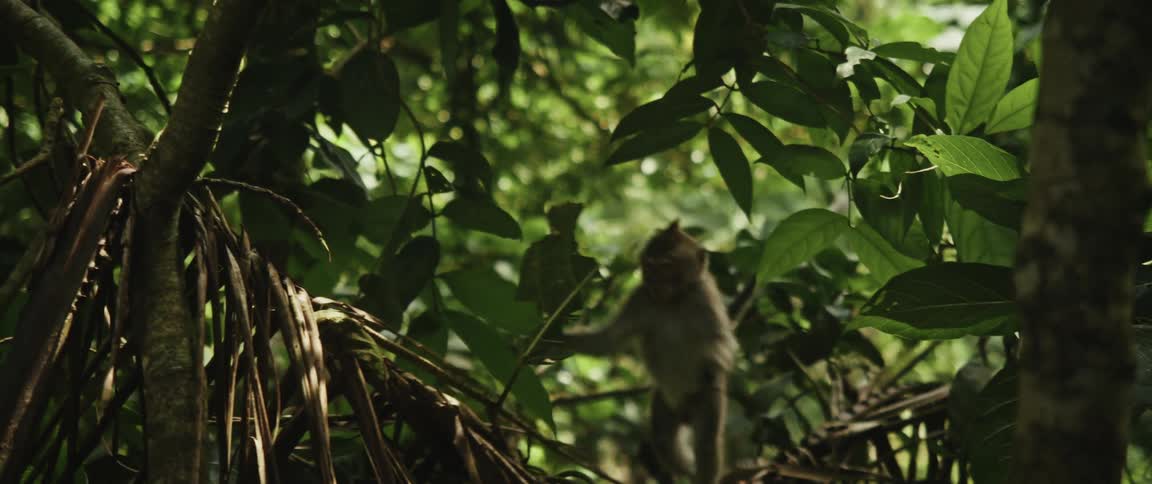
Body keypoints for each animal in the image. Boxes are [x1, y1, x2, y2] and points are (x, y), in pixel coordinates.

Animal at [562, 221, 738, 484]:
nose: (655, 282)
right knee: (664, 439)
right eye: (649, 265)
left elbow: (721, 344)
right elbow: (608, 340)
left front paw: (712, 363)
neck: (673, 301)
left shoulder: (704, 297)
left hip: (703, 401)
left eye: (666, 266)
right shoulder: (641, 296)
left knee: (706, 442)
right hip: (665, 401)